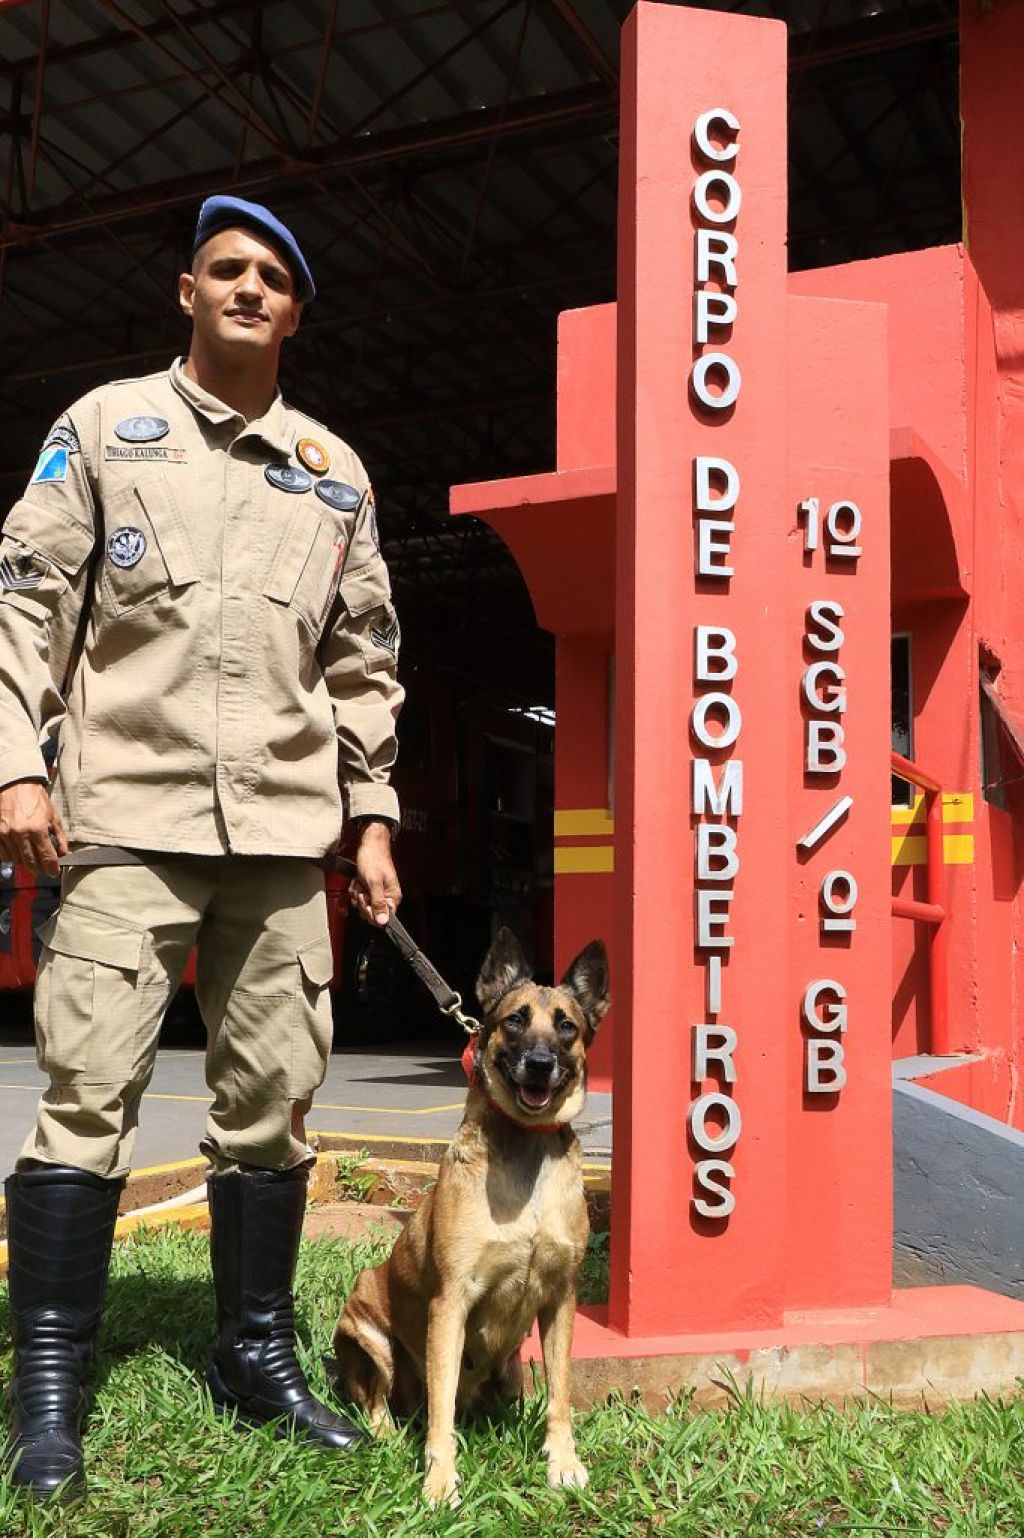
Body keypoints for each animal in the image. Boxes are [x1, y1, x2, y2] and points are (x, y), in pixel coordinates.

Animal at [333, 922, 605, 1501]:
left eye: (566, 1026)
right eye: (514, 1020)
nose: (540, 1064)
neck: (525, 1152)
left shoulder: (561, 1298)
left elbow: (561, 1392)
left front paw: (562, 1460)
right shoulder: (450, 1302)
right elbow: (440, 1412)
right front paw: (440, 1480)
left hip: (510, 1369)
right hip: (366, 1328)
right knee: (380, 1403)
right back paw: (388, 1436)